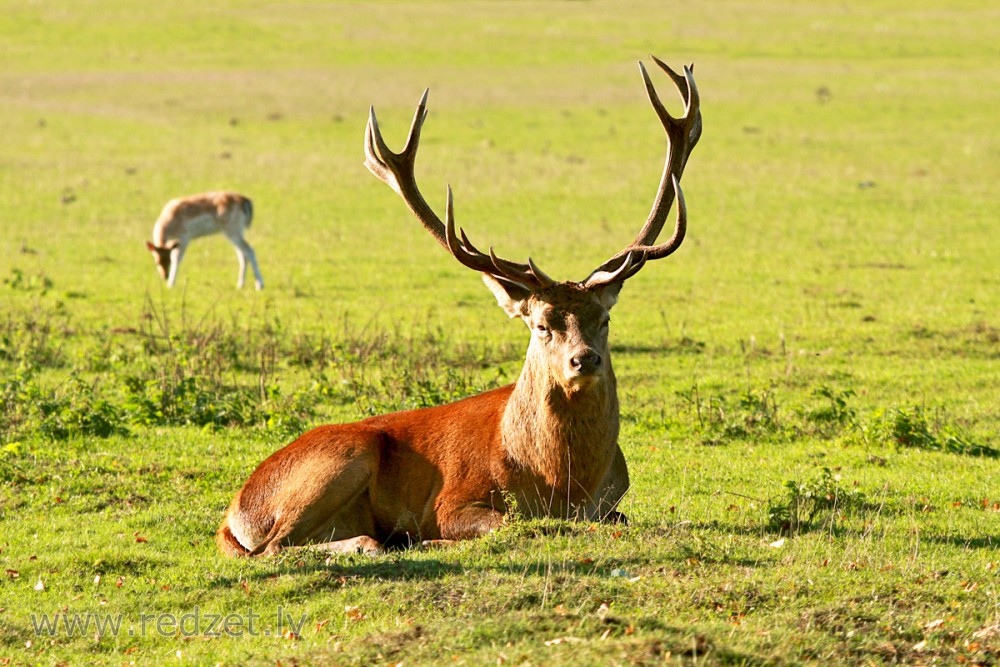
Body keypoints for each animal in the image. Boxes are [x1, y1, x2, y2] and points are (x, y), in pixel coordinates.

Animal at [219, 58, 704, 560]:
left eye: (604, 319)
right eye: (541, 324)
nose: (583, 359)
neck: (565, 485)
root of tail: (234, 512)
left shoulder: (612, 502)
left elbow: (621, 520)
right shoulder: (453, 499)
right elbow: (513, 524)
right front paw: (427, 536)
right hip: (339, 459)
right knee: (274, 545)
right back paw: (380, 541)